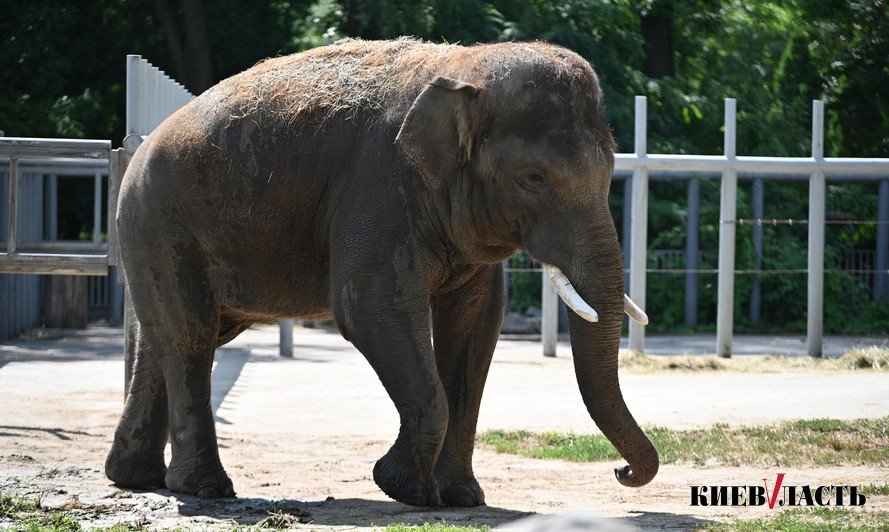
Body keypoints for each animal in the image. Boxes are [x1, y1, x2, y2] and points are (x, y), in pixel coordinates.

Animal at [106, 38, 660, 508]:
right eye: (534, 178)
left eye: (610, 171)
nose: (620, 472)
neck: (461, 71)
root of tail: (137, 149)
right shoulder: (378, 185)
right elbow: (371, 310)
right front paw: (405, 490)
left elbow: (477, 323)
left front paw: (462, 498)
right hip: (158, 224)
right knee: (190, 336)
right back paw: (205, 489)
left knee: (171, 336)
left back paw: (135, 478)